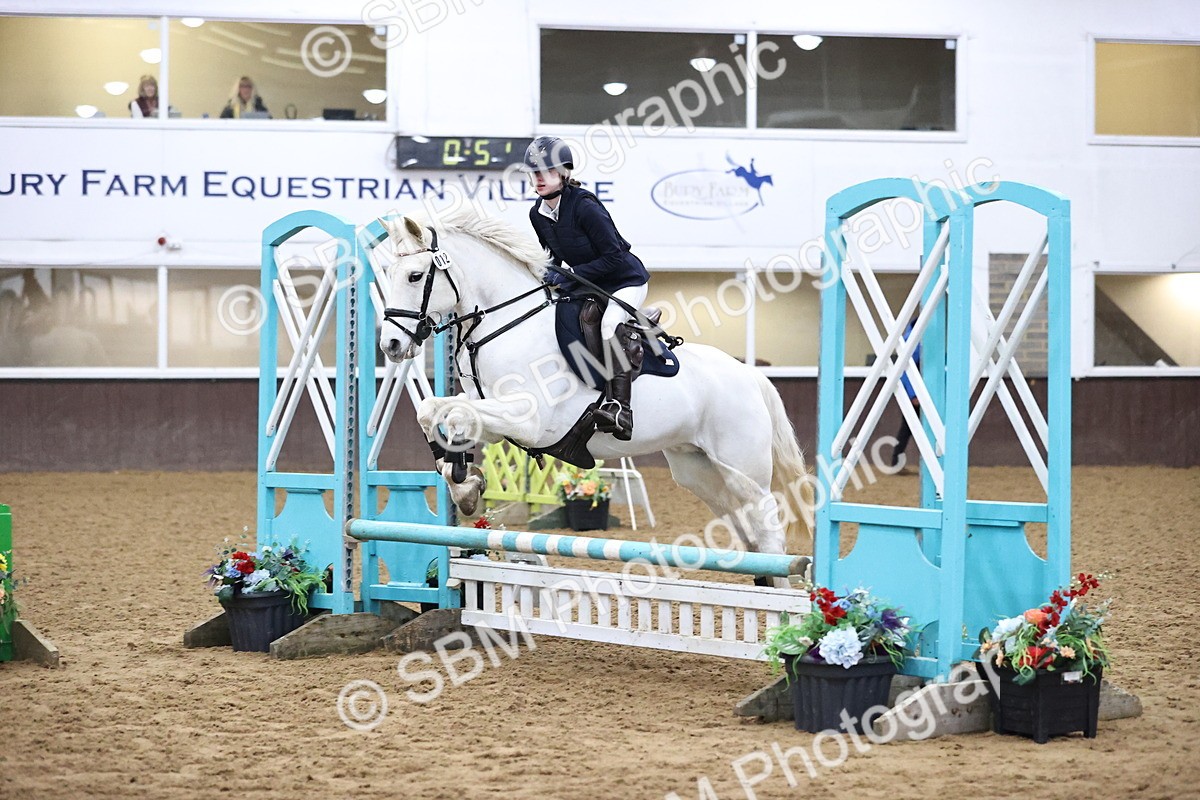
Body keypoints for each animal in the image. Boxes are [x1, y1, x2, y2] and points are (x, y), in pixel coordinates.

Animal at [377, 212, 812, 587]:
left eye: (416, 275)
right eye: (388, 274)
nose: (391, 345)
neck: (507, 323)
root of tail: (750, 375)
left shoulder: (526, 420)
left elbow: (451, 416)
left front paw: (465, 483)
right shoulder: (495, 417)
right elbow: (432, 412)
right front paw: (464, 485)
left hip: (743, 468)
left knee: (769, 529)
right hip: (699, 470)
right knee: (749, 531)